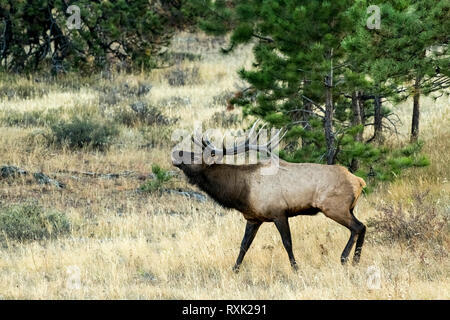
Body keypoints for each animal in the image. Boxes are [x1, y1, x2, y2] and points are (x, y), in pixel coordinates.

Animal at [171, 121, 368, 272]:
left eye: (195, 156)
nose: (175, 152)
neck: (241, 192)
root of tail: (359, 181)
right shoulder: (253, 218)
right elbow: (244, 245)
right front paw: (235, 269)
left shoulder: (279, 212)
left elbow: (287, 242)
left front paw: (296, 269)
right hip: (348, 208)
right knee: (362, 226)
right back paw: (355, 260)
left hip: (334, 207)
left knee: (357, 227)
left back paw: (345, 259)